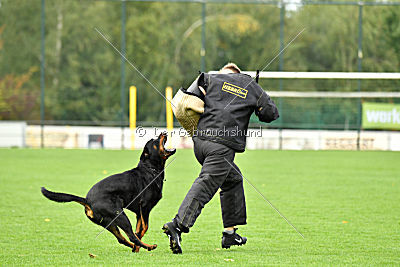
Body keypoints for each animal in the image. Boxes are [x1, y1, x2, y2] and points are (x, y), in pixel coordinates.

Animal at [40, 133, 175, 253]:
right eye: (154, 141)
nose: (163, 133)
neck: (150, 170)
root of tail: (87, 200)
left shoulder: (139, 212)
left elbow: (140, 230)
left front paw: (136, 248)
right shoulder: (145, 207)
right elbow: (143, 228)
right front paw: (139, 245)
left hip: (108, 222)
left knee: (122, 239)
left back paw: (136, 247)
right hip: (120, 215)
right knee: (131, 236)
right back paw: (149, 246)